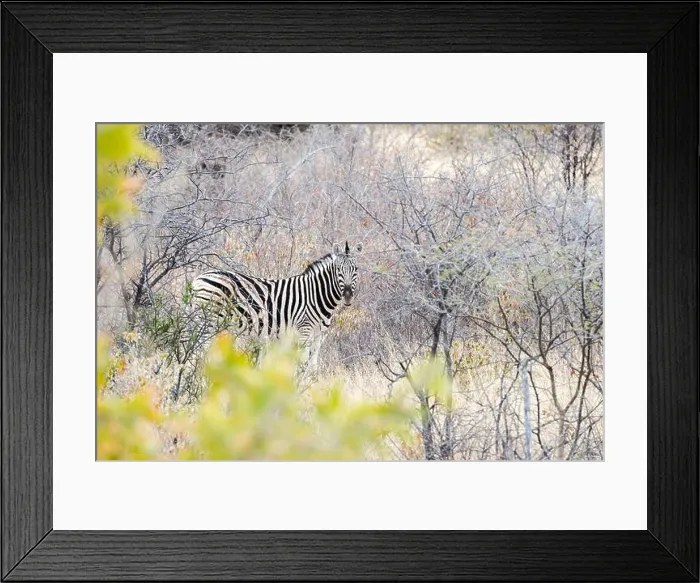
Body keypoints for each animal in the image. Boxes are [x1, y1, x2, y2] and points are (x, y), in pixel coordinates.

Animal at [190, 241, 363, 371]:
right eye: (339, 270)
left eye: (356, 269)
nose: (348, 295)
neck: (317, 295)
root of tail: (198, 279)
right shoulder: (304, 330)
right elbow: (302, 363)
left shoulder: (320, 334)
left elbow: (313, 367)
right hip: (208, 322)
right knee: (198, 353)